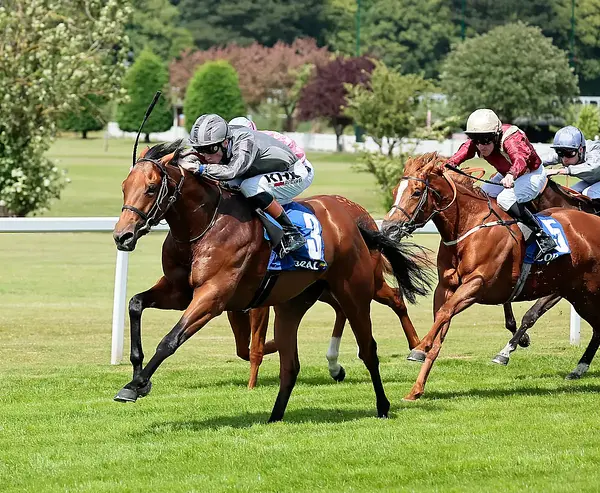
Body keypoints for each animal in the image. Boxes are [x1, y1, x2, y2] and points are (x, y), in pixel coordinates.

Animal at [112, 141, 432, 421]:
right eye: (124, 187)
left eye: (151, 188)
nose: (122, 236)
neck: (204, 225)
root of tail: (353, 221)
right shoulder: (180, 292)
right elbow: (135, 303)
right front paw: (138, 374)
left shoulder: (213, 296)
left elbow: (170, 340)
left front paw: (134, 386)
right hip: (295, 303)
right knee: (291, 364)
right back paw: (276, 415)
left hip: (354, 293)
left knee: (369, 347)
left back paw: (384, 401)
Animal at [367, 152, 600, 401]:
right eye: (395, 191)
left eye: (417, 192)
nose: (388, 229)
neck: (470, 226)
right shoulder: (446, 287)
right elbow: (441, 326)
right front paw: (416, 388)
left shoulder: (477, 284)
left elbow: (446, 313)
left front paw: (419, 347)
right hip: (578, 294)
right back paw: (578, 368)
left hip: (586, 291)